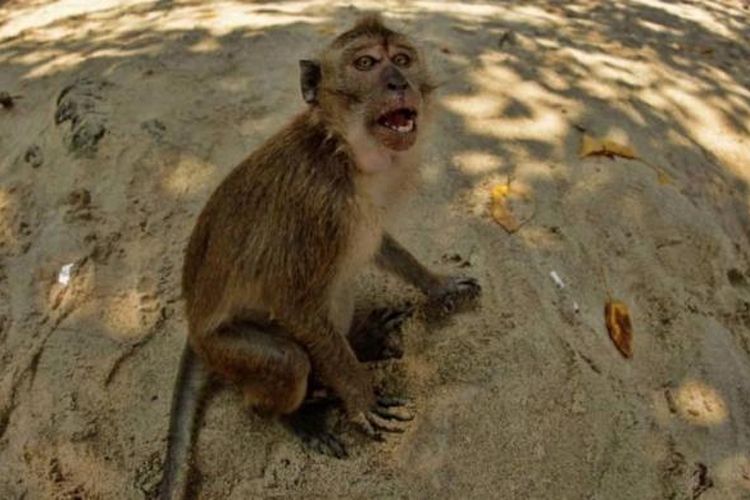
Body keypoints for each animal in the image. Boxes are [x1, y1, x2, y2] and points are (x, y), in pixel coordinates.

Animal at [159, 15, 484, 500]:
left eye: (402, 59)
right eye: (366, 63)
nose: (398, 82)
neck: (343, 150)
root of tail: (193, 322)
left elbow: (377, 244)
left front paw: (438, 284)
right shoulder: (317, 207)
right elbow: (295, 304)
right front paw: (360, 396)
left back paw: (362, 343)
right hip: (226, 349)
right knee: (289, 361)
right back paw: (300, 412)